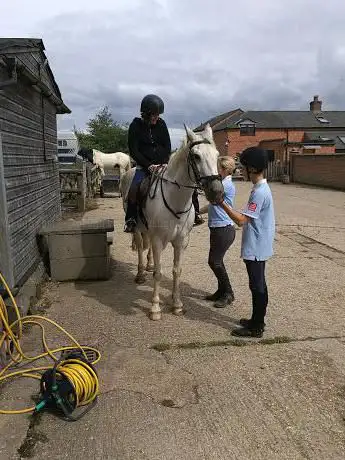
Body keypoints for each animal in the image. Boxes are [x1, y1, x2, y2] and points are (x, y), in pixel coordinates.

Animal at [119, 124, 223, 322]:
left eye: (217, 155)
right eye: (196, 156)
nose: (217, 192)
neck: (175, 199)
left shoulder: (181, 241)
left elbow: (177, 271)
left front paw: (177, 305)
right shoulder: (158, 240)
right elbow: (159, 274)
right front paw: (155, 308)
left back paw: (149, 265)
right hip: (136, 228)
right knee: (140, 247)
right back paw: (141, 273)